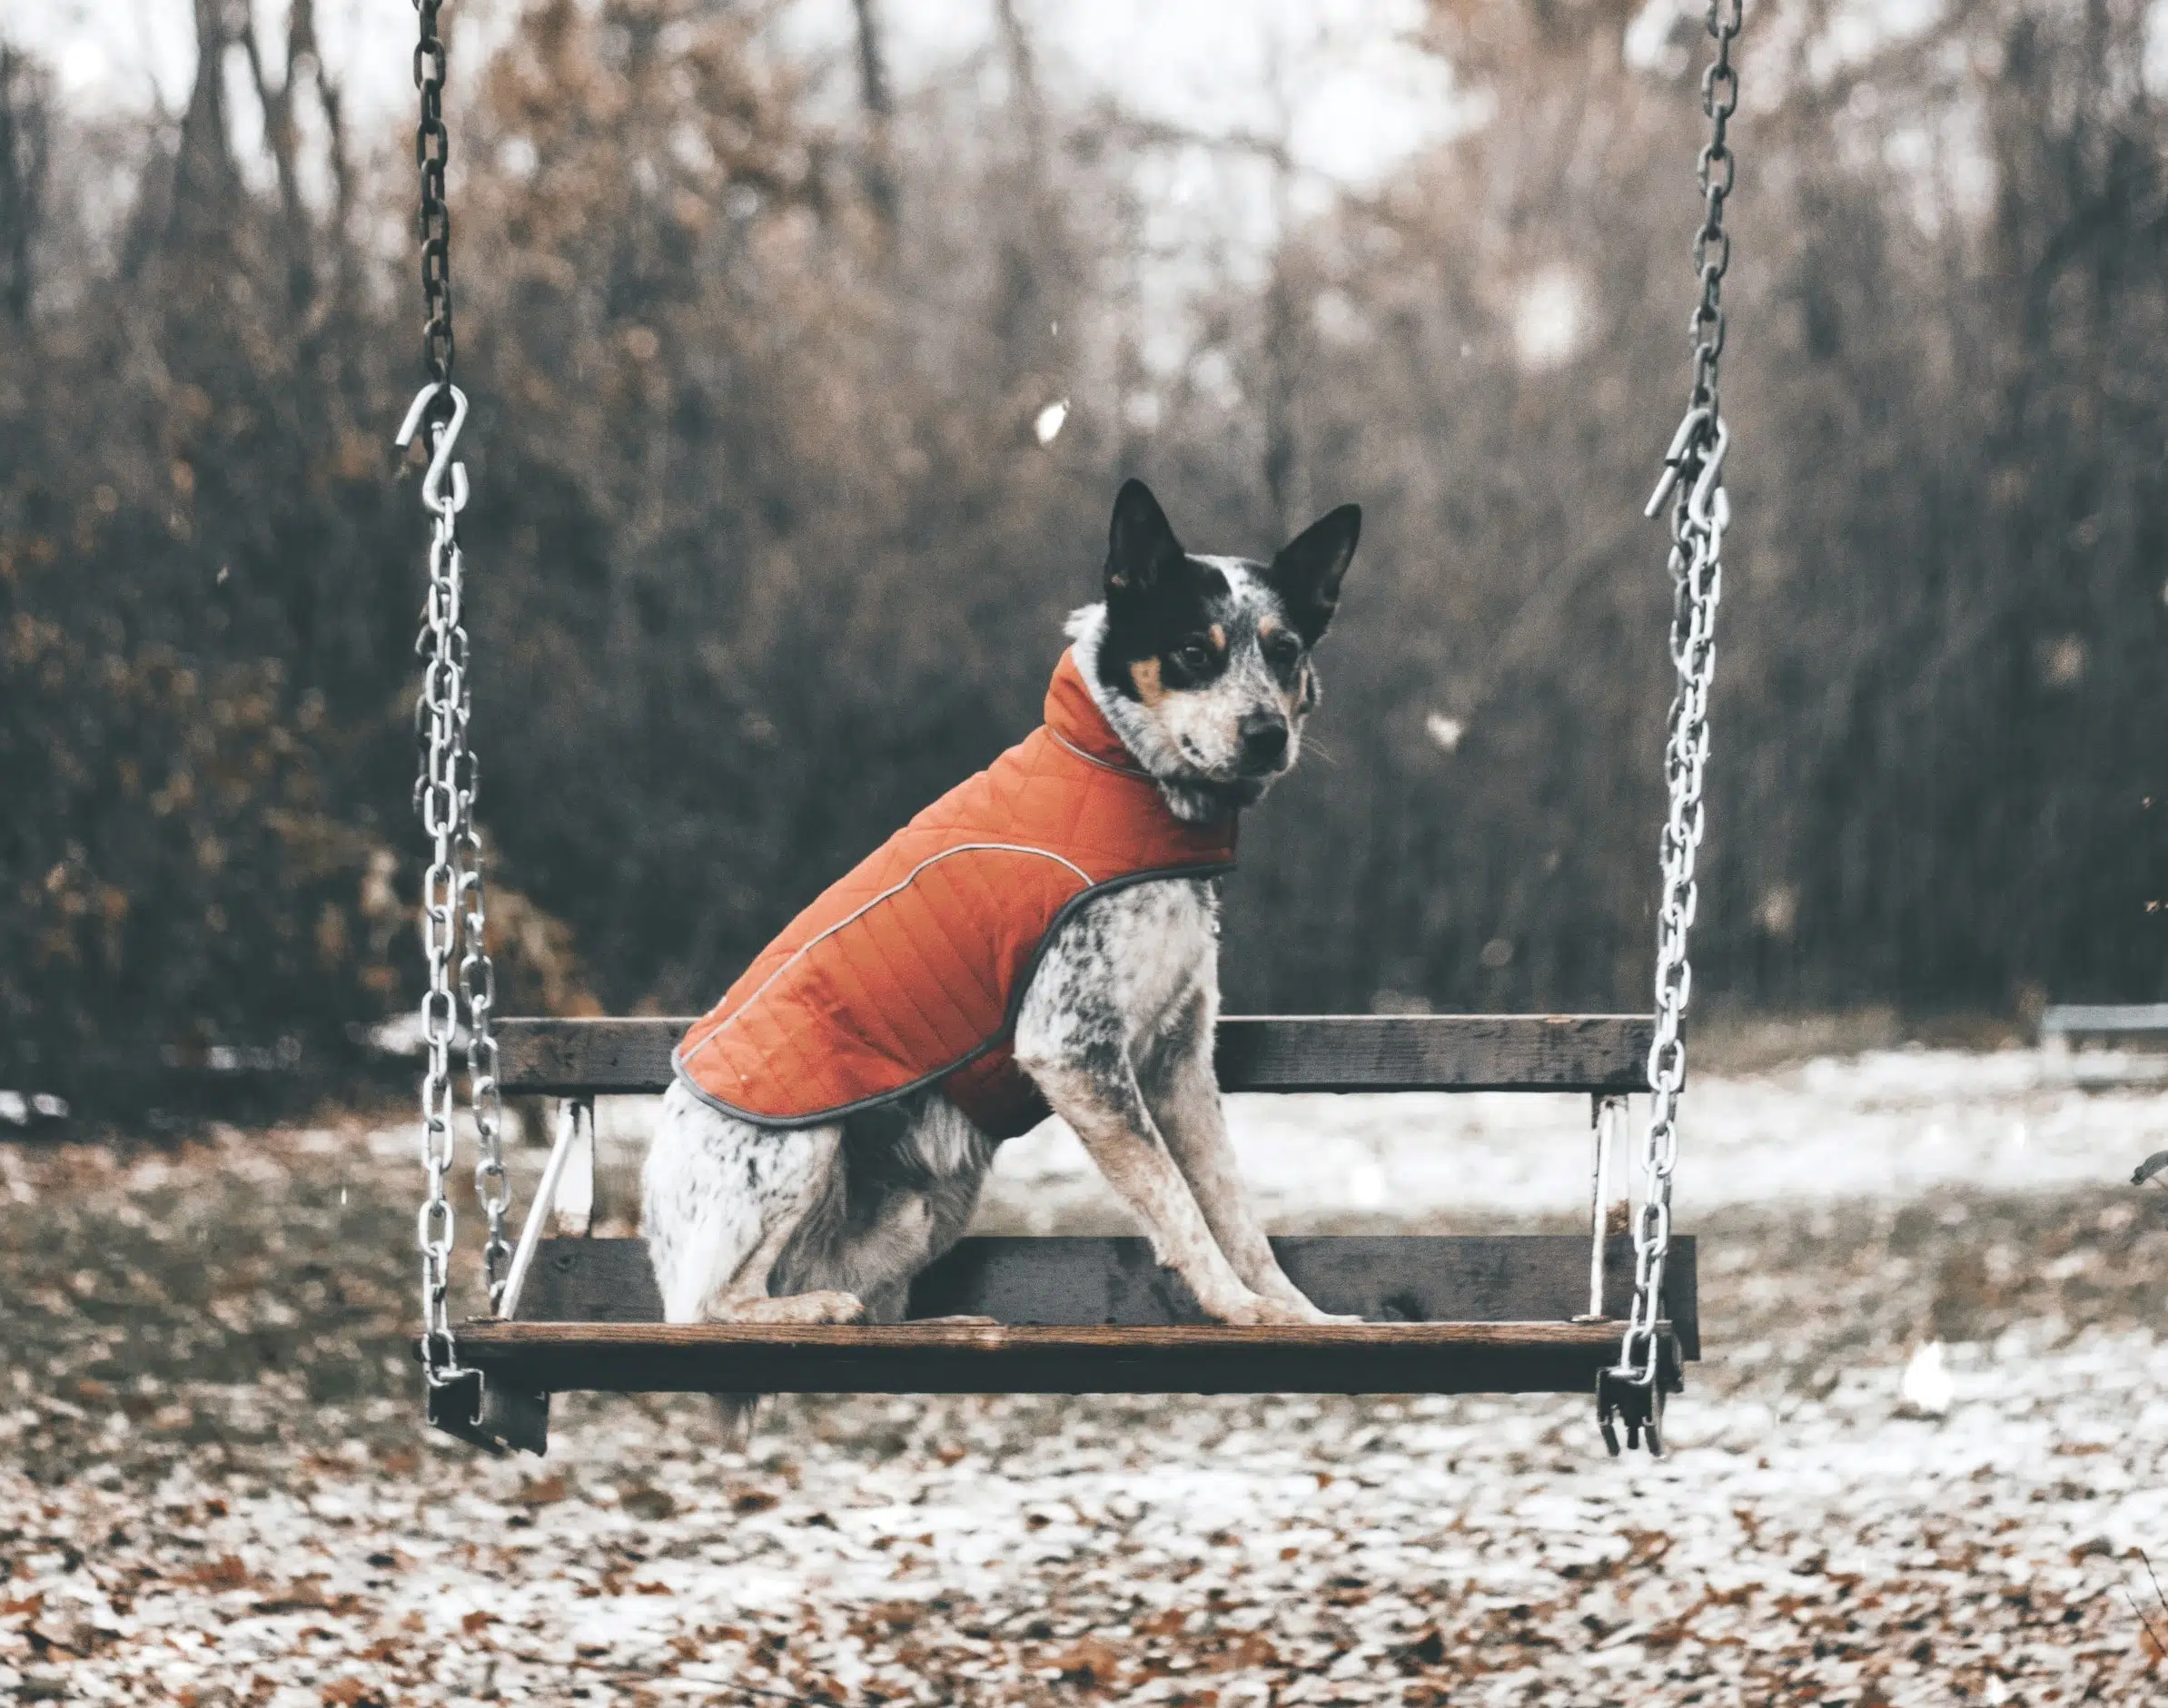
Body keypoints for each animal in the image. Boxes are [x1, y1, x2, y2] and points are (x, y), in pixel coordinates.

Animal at [633, 474, 1361, 1396]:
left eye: (1285, 649)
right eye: (1195, 651)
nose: (1268, 734)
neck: (1122, 774)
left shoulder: (1179, 1062)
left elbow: (1232, 1206)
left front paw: (1297, 1313)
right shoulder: (1074, 1050)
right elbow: (1177, 1203)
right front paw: (1235, 1306)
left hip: (924, 1206)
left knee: (860, 1298)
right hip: (798, 1143)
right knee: (713, 1304)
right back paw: (810, 1309)